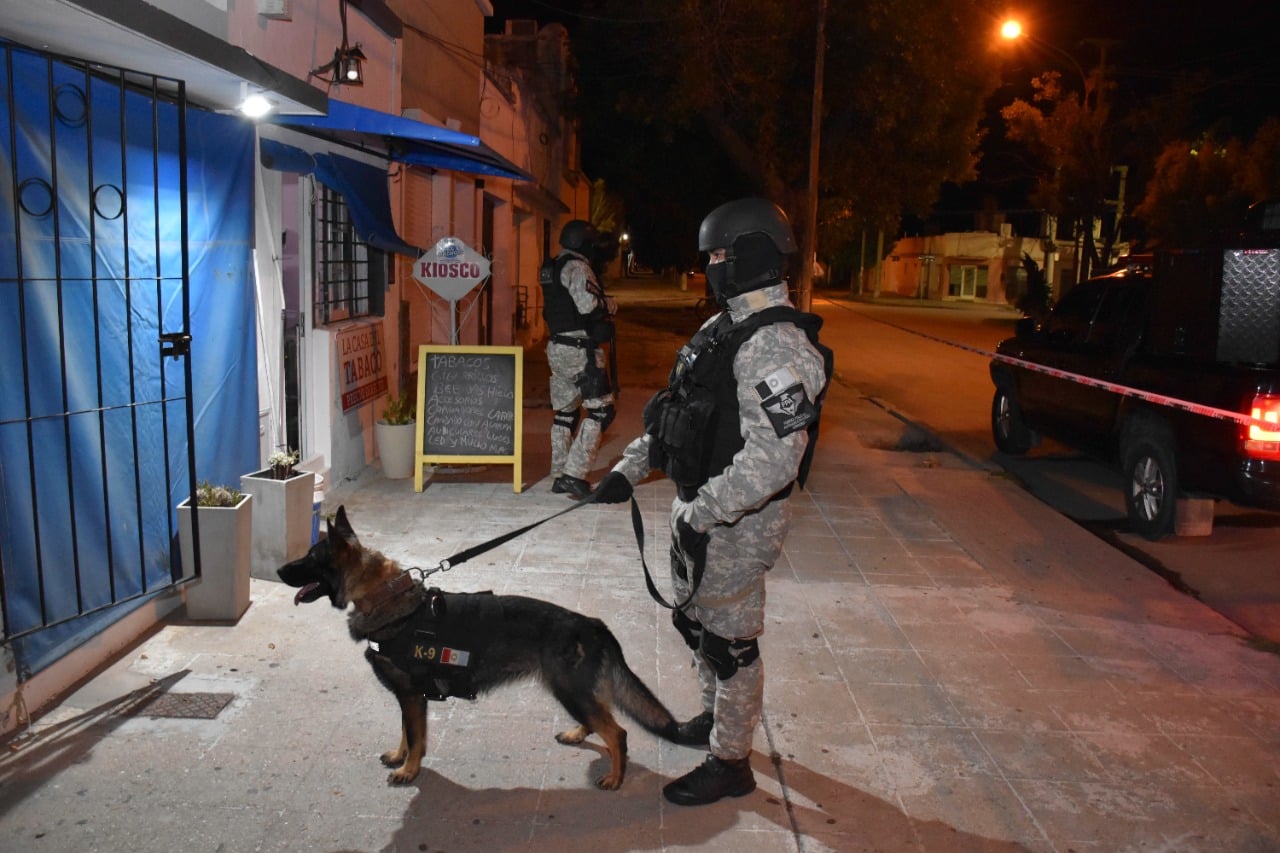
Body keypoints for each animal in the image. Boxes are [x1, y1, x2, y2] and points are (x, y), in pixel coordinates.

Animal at [278, 505, 691, 789]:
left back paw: (616, 777)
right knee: (597, 721)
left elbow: (415, 736)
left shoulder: (411, 695)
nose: (279, 570)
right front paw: (400, 757)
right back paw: (577, 735)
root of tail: (594, 624)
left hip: (570, 691)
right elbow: (407, 734)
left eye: (310, 558)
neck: (385, 598)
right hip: (571, 692)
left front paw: (409, 770)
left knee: (616, 733)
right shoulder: (410, 698)